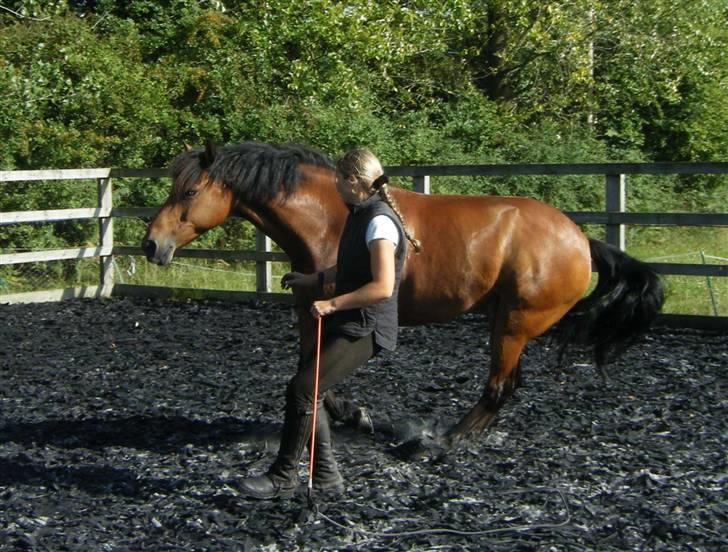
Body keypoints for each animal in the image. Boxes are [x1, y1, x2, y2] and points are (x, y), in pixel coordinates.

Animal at [142, 141, 664, 452]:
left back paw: (445, 441)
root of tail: (580, 240)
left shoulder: (336, 314)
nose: (151, 244)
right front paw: (353, 414)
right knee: (509, 385)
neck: (330, 220)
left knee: (498, 387)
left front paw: (355, 415)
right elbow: (311, 372)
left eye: (189, 191)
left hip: (515, 324)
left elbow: (314, 373)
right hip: (504, 321)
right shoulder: (310, 312)